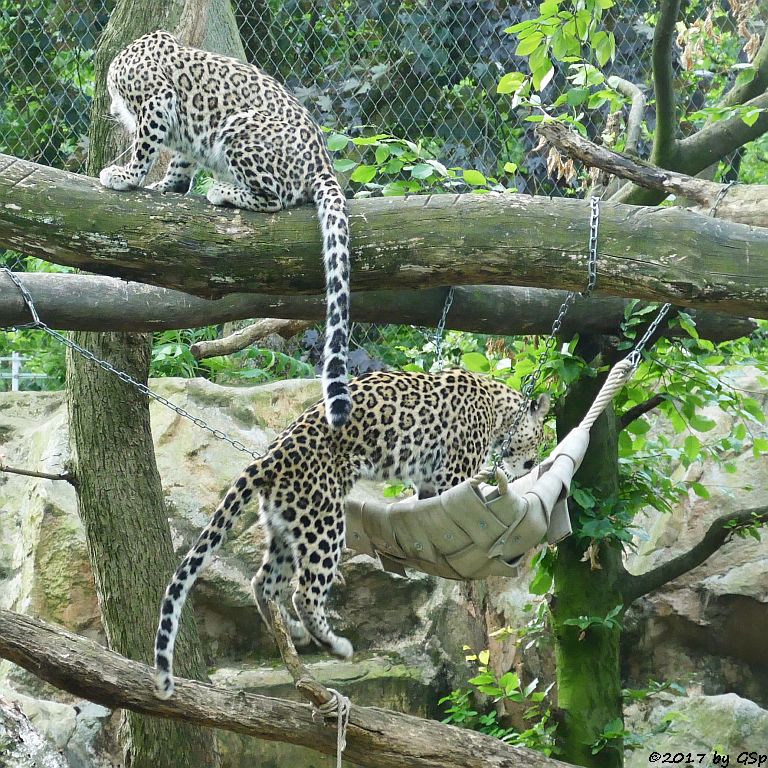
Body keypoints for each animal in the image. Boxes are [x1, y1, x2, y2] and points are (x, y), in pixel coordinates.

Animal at [99, 30, 354, 426]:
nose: (112, 111)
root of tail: (323, 164)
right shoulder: (179, 132)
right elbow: (180, 163)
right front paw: (166, 187)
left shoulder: (156, 101)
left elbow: (144, 148)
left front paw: (126, 177)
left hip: (240, 128)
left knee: (276, 198)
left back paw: (222, 191)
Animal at [153, 368, 548, 700]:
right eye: (539, 437)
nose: (532, 462)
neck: (497, 407)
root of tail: (270, 456)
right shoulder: (454, 474)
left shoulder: (427, 483)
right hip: (323, 520)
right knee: (304, 592)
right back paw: (335, 645)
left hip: (285, 525)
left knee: (263, 583)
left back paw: (295, 632)